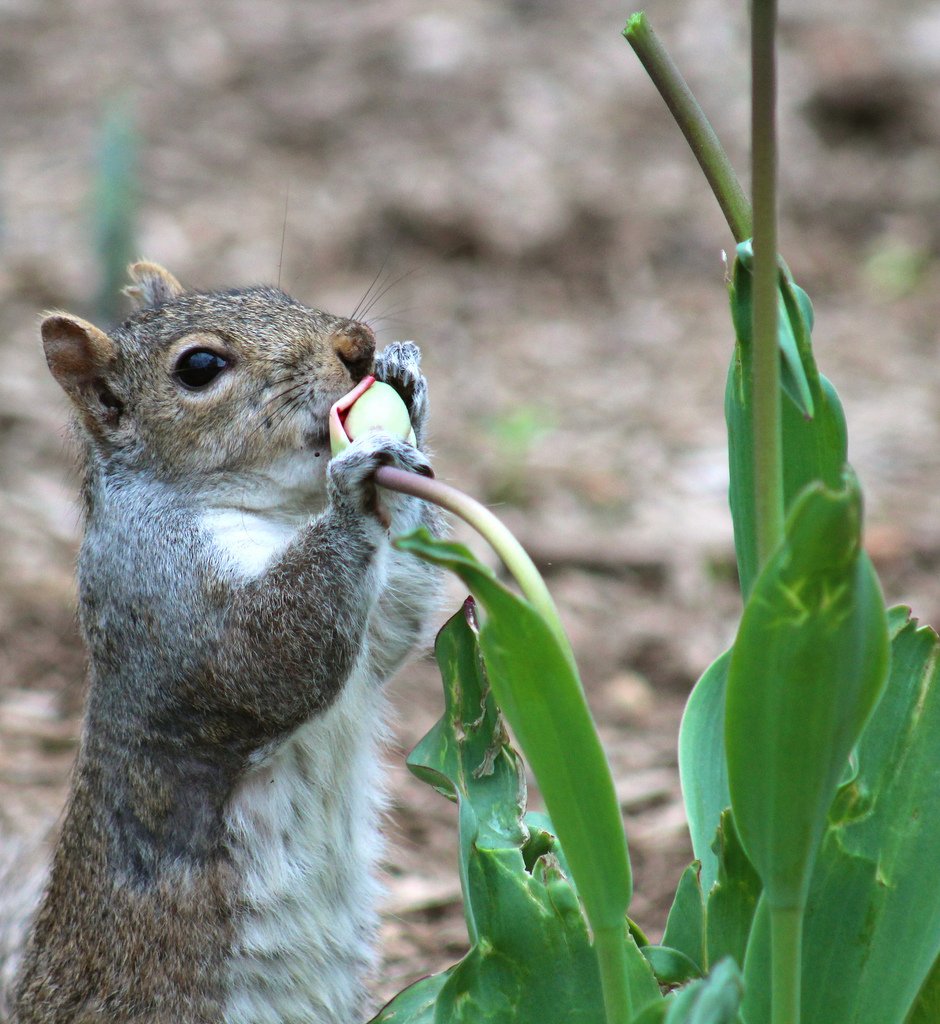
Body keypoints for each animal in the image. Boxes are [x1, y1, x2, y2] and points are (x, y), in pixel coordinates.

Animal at [3, 262, 442, 1024]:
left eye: (276, 293)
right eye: (200, 367)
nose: (358, 345)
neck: (276, 512)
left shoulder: (374, 637)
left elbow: (391, 626)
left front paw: (407, 389)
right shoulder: (165, 596)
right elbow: (264, 658)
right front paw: (354, 487)